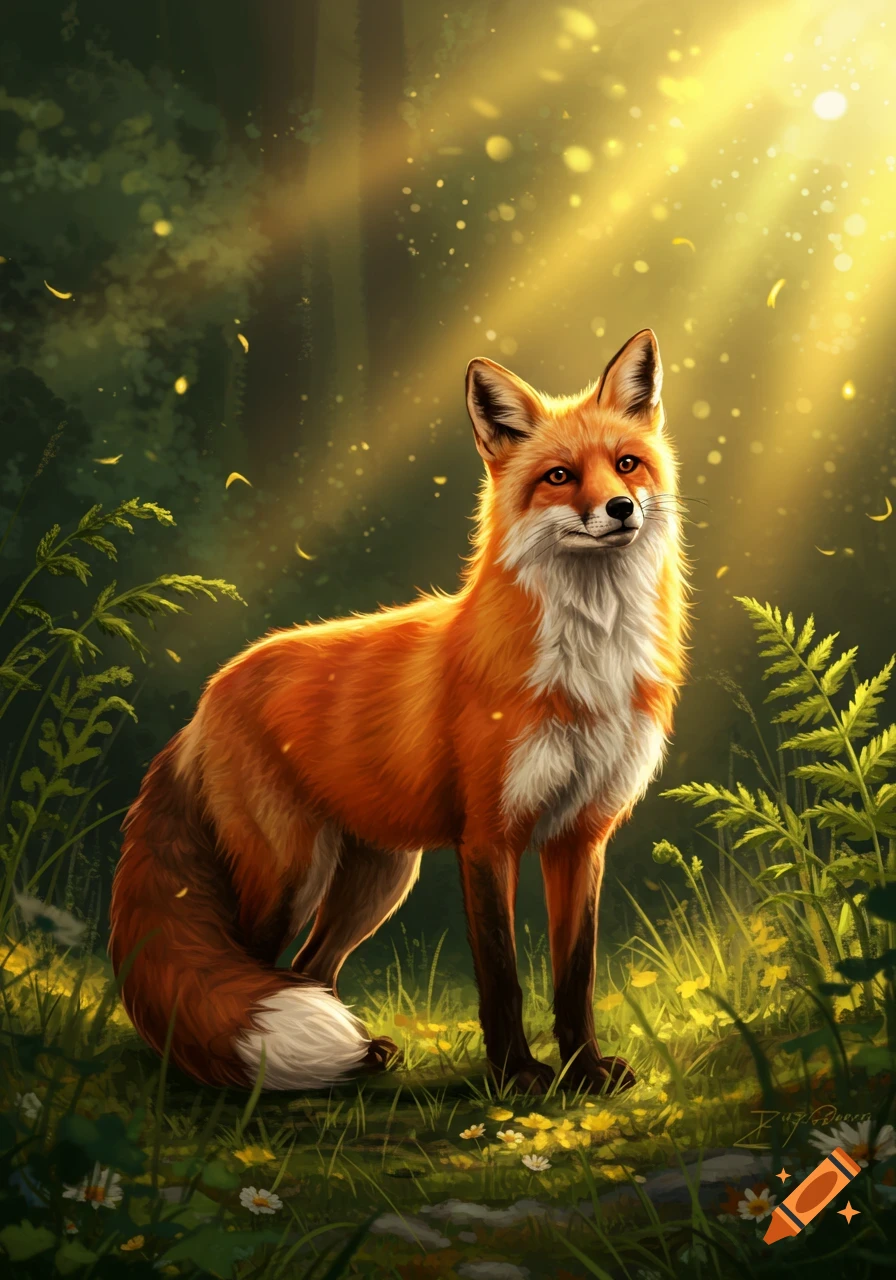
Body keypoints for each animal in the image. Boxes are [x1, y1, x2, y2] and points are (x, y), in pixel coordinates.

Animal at [109, 327, 690, 1096]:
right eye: (560, 476)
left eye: (627, 464)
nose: (620, 508)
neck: (588, 661)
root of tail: (208, 696)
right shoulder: (488, 838)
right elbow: (502, 977)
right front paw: (515, 1078)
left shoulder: (580, 838)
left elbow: (575, 977)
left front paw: (584, 1070)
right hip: (289, 873)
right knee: (248, 971)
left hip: (377, 879)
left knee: (309, 969)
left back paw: (353, 1063)